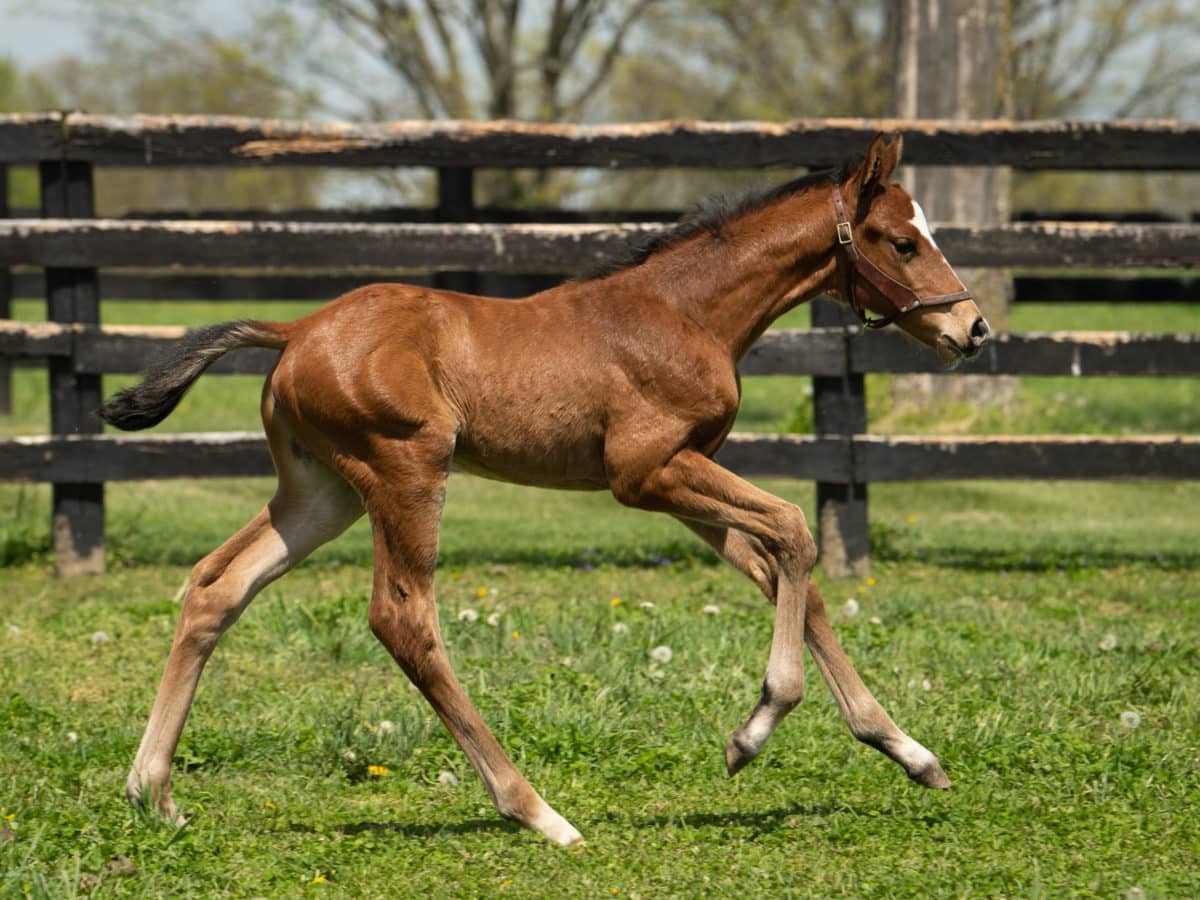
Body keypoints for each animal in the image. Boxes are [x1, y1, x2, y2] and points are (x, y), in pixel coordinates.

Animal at [100, 132, 984, 844]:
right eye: (903, 242)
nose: (971, 329)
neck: (684, 312)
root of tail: (296, 330)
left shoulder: (683, 476)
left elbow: (785, 570)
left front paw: (907, 752)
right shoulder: (646, 473)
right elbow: (796, 530)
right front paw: (757, 728)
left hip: (322, 493)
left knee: (218, 585)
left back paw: (153, 792)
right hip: (405, 471)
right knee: (402, 619)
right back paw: (538, 812)